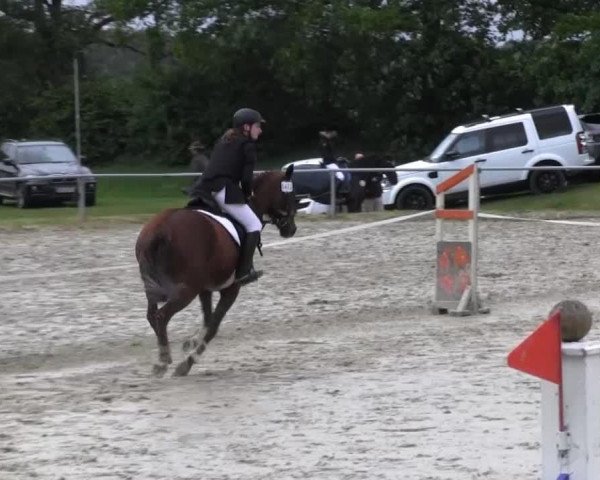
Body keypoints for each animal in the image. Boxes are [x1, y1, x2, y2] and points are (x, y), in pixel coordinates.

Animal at [135, 165, 296, 378]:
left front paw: (191, 342)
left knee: (152, 316)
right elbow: (213, 326)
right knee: (161, 317)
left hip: (156, 287)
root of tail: (160, 230)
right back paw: (163, 361)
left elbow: (208, 319)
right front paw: (188, 362)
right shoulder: (231, 289)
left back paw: (163, 357)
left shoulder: (205, 289)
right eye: (290, 194)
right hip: (187, 290)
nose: (292, 230)